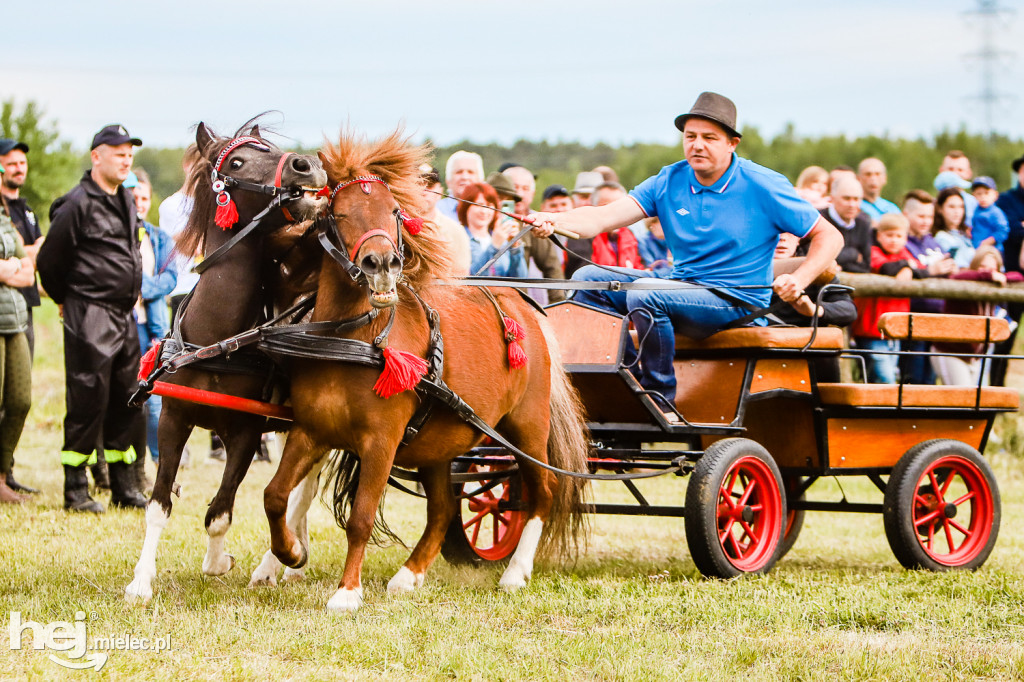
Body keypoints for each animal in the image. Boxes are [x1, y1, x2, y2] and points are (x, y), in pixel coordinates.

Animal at [260, 129, 589, 610]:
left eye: (394, 211)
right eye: (338, 214)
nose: (382, 264)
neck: (355, 338)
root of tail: (525, 306)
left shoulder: (381, 441)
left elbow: (360, 517)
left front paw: (347, 592)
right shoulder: (310, 430)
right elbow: (275, 495)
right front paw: (290, 554)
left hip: (527, 426)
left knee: (541, 493)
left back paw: (515, 572)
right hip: (440, 441)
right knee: (444, 509)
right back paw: (409, 574)